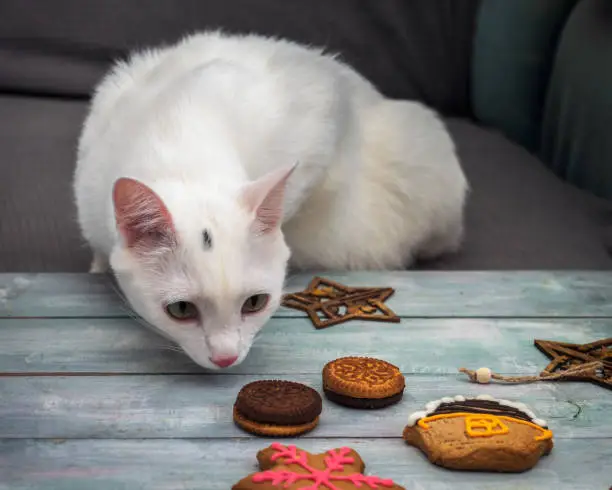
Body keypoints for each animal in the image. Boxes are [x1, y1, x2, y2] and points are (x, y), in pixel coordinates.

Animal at [73, 31, 468, 372]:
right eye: (181, 309)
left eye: (255, 303)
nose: (226, 358)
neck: (180, 134)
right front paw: (98, 266)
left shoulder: (323, 123)